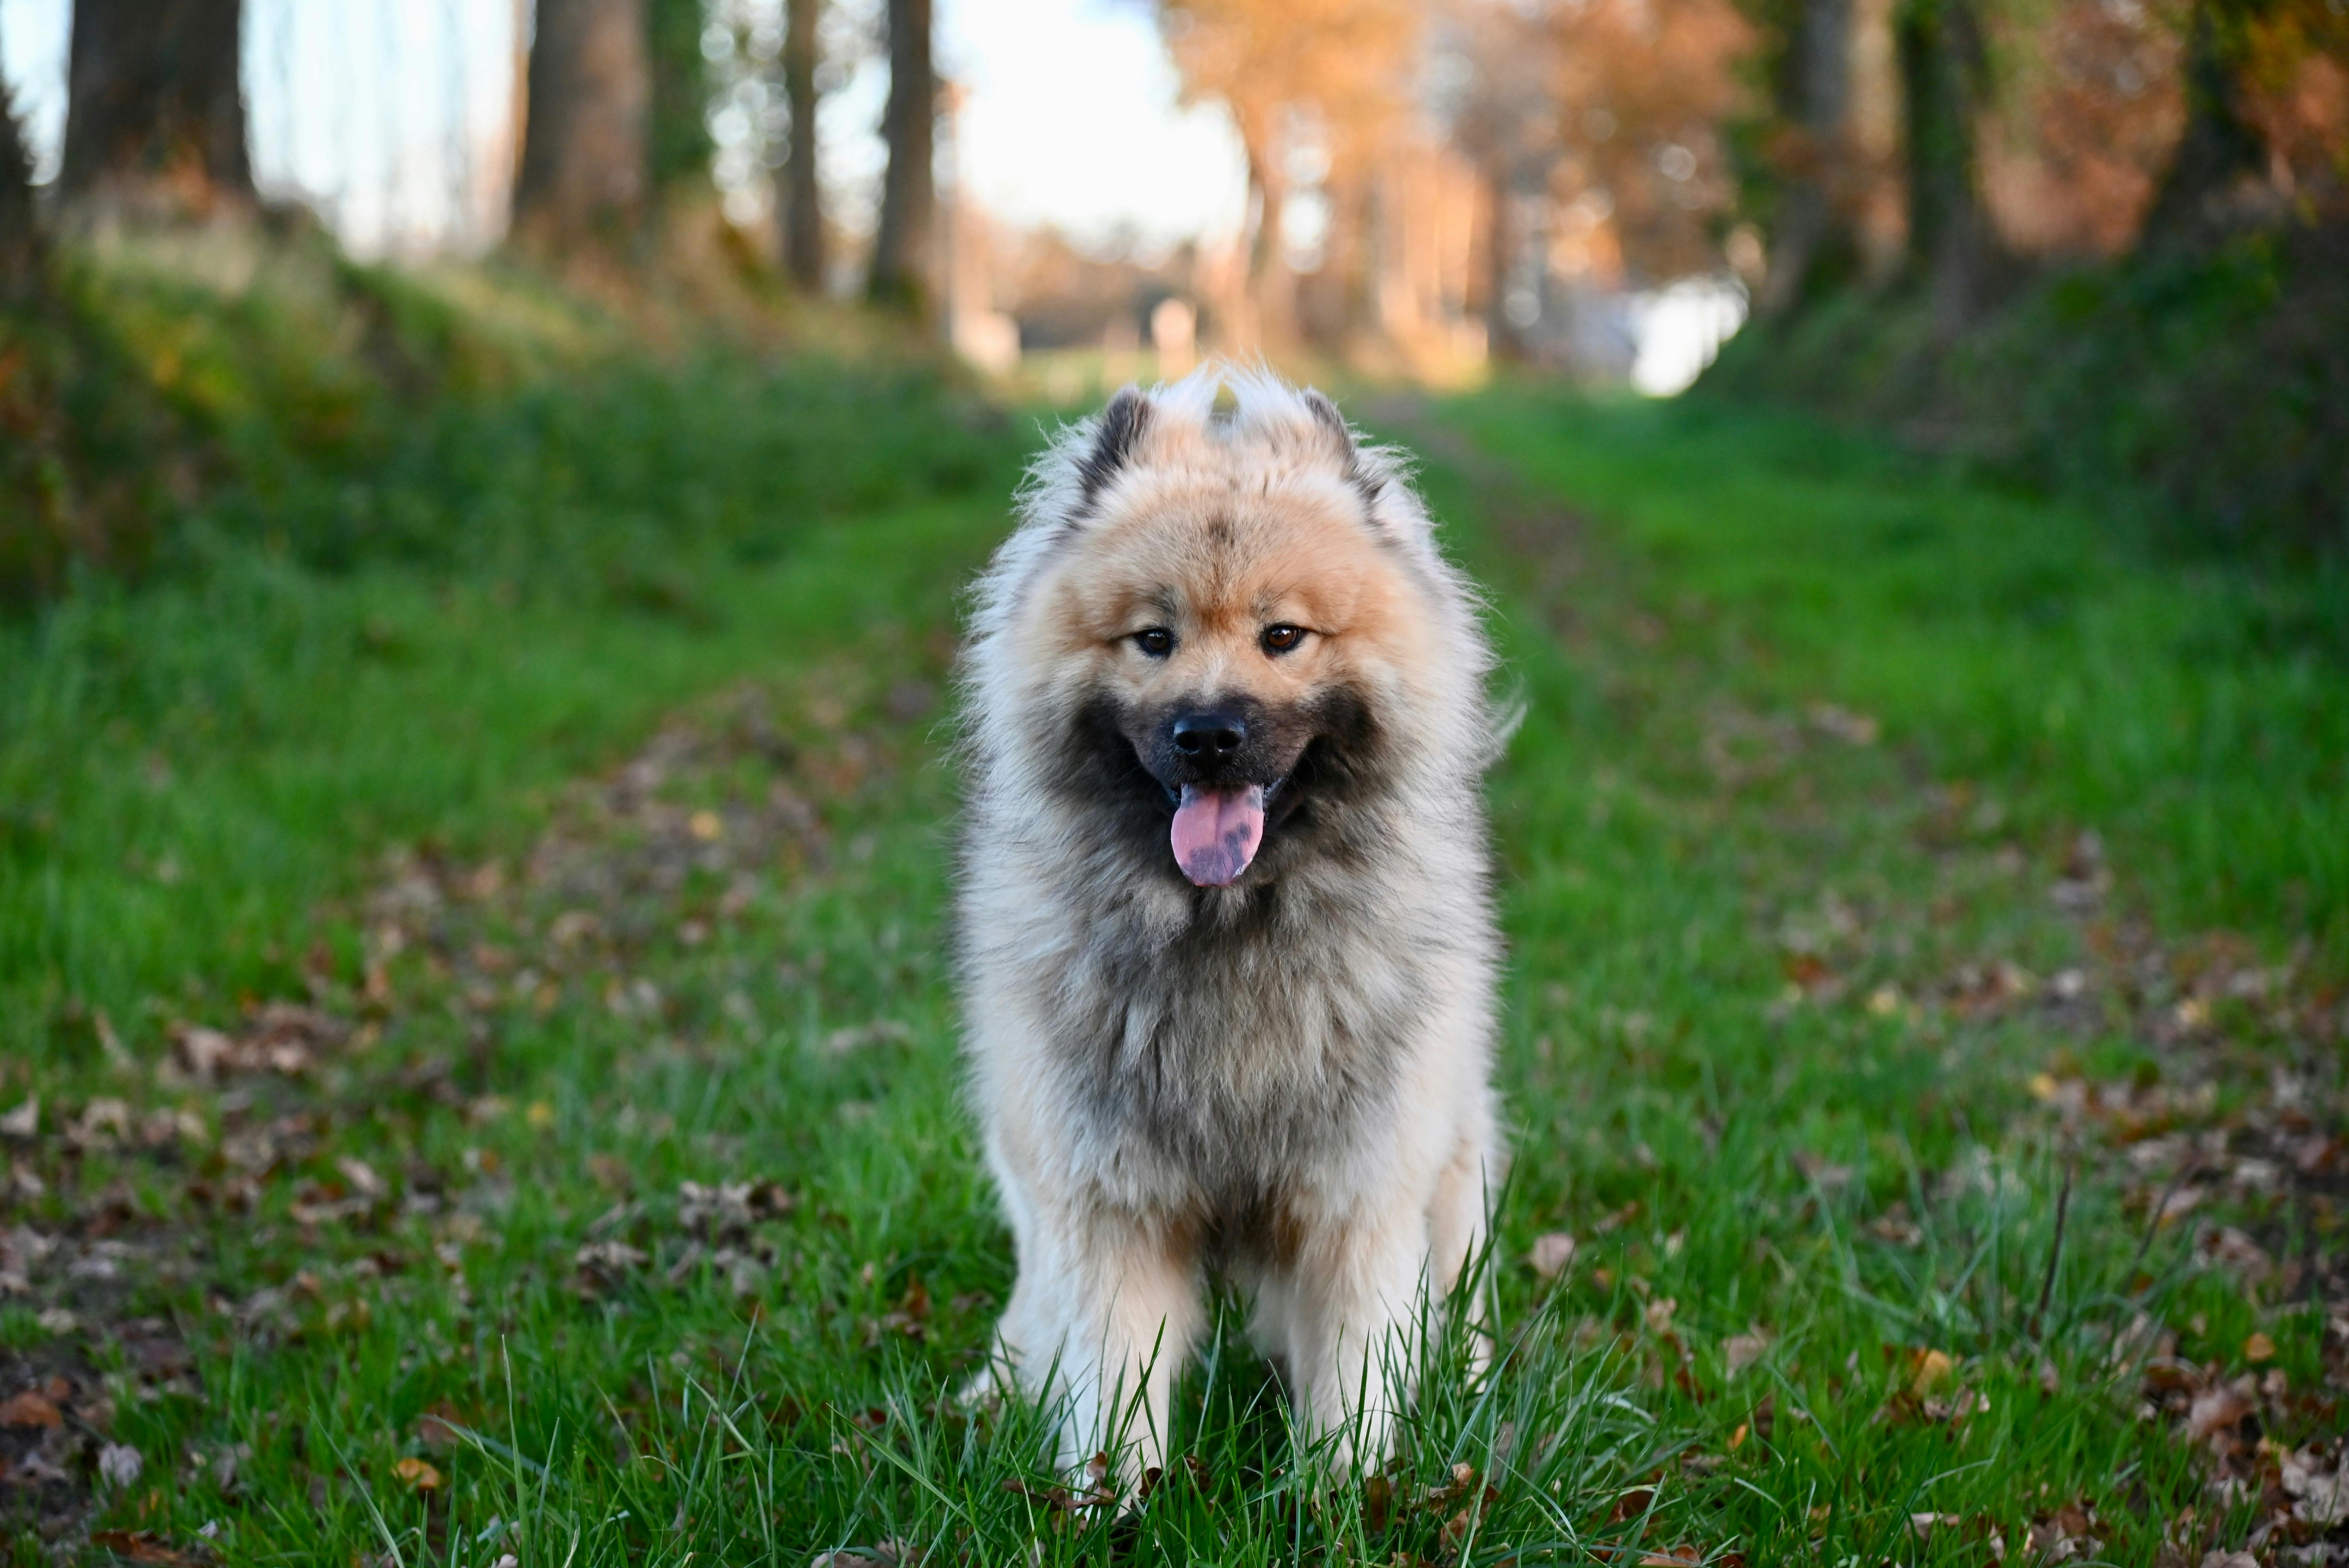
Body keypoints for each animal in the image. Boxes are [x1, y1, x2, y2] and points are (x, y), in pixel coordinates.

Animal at [954, 368, 1503, 1483]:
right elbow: (1110, 1381)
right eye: (1153, 639)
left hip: (1454, 1152)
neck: (1228, 934)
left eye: (1281, 635)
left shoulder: (1355, 1199)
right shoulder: (1107, 1202)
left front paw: (1346, 1492)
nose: (1207, 734)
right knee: (1034, 1299)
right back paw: (999, 1387)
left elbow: (1356, 1375)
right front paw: (1111, 1498)